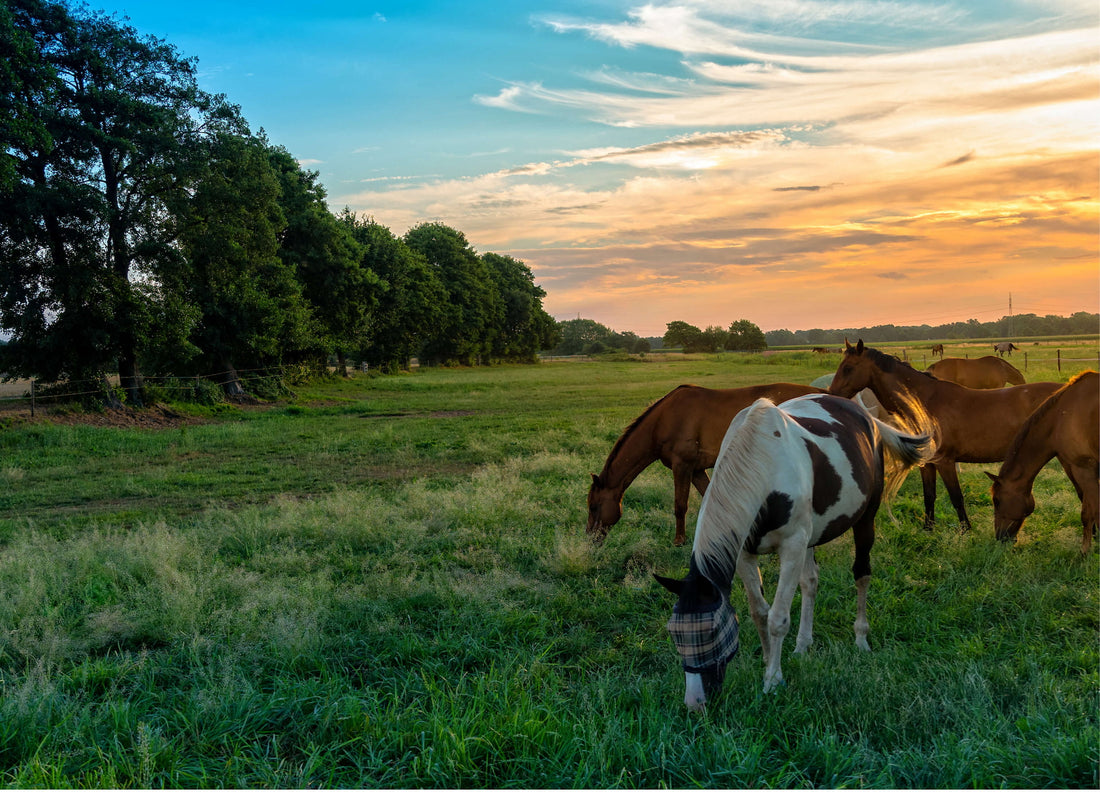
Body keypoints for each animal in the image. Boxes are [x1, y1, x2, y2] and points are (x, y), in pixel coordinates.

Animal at [589, 382, 822, 545]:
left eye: (593, 506)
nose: (590, 538)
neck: (664, 420)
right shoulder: (697, 470)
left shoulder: (682, 467)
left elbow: (680, 505)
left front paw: (679, 541)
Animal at [655, 396, 932, 712]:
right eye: (674, 633)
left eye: (711, 632)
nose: (695, 703)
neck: (763, 464)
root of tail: (867, 417)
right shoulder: (744, 552)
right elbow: (759, 611)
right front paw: (767, 660)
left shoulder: (792, 546)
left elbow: (778, 618)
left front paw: (773, 680)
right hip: (811, 538)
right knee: (810, 583)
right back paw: (803, 645)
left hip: (864, 519)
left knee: (862, 575)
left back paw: (861, 639)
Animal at [827, 338, 1060, 532]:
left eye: (848, 368)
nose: (831, 395)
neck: (926, 404)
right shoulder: (927, 463)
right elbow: (929, 496)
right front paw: (928, 529)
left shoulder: (945, 462)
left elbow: (956, 497)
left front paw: (966, 531)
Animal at [990, 369, 1100, 550]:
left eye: (997, 501)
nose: (1000, 537)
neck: (1061, 416)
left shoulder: (1084, 469)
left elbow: (1091, 512)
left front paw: (1085, 552)